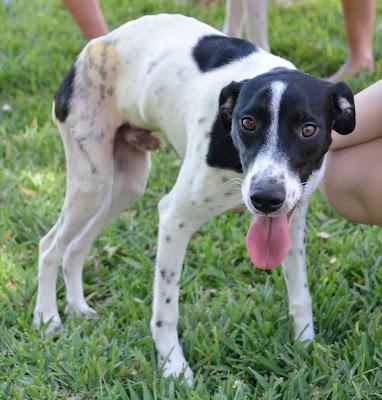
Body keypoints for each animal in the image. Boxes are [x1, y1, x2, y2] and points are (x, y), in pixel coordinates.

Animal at [33, 14, 356, 384]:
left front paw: (307, 348)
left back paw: (77, 307)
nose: (264, 198)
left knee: (75, 247)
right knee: (50, 245)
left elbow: (300, 293)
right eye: (247, 122)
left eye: (308, 129)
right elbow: (166, 311)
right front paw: (174, 367)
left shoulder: (293, 217)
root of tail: (95, 45)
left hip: (126, 185)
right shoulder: (174, 218)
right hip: (92, 182)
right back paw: (47, 317)